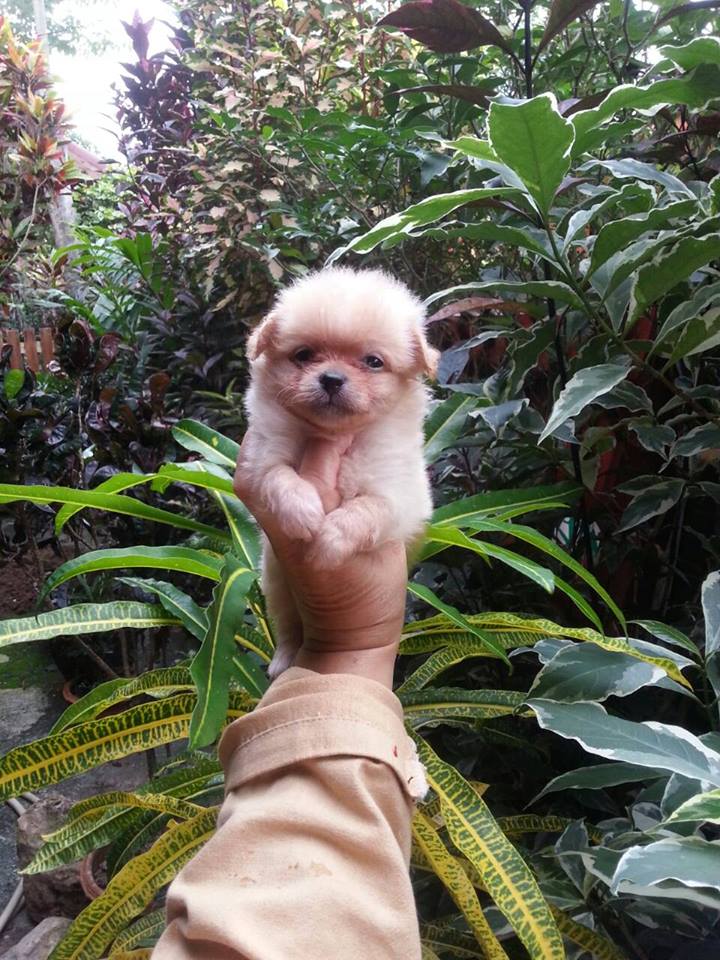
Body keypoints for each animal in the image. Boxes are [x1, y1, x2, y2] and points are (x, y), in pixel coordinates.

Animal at [241, 266, 438, 677]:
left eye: (373, 362)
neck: (333, 435)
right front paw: (303, 512)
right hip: (276, 581)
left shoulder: (401, 496)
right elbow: (279, 478)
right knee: (288, 627)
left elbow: (367, 510)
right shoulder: (260, 459)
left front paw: (329, 540)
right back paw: (283, 661)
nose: (331, 378)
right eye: (304, 355)